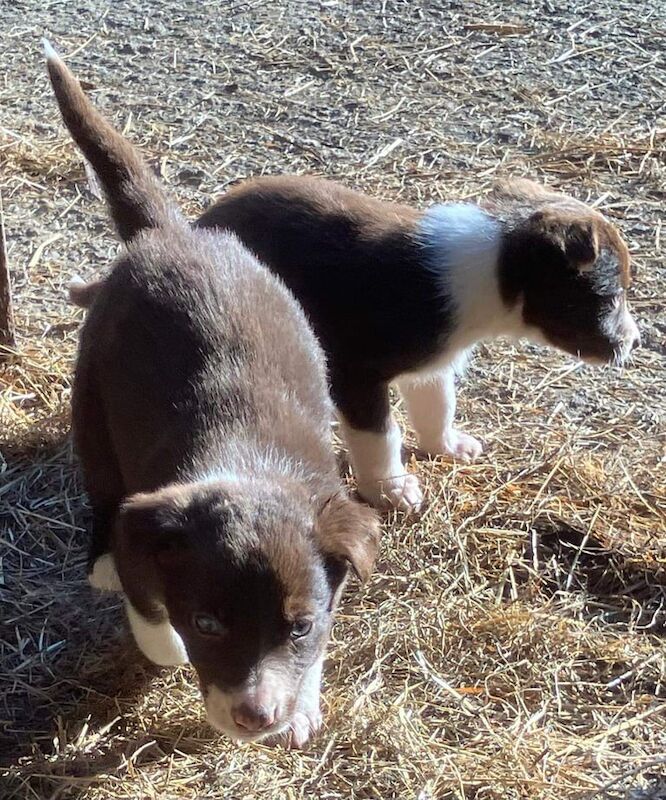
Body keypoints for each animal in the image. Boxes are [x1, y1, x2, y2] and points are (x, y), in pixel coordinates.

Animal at [45, 40, 378, 748]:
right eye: (207, 624)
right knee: (100, 486)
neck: (249, 468)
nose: (257, 717)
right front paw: (168, 647)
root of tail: (171, 233)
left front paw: (302, 706)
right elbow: (149, 612)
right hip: (92, 403)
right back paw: (99, 560)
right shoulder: (144, 527)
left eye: (299, 626)